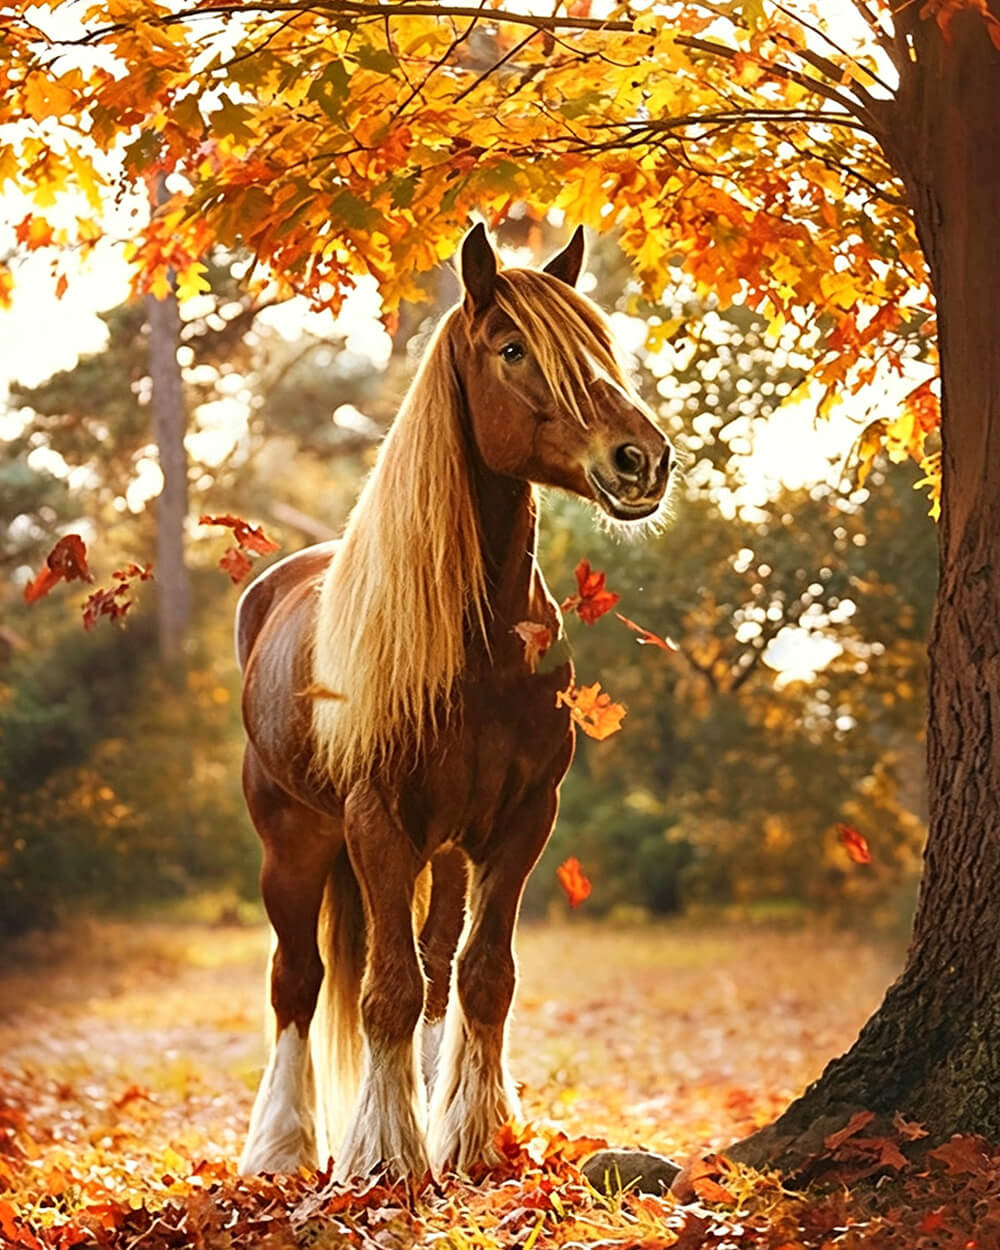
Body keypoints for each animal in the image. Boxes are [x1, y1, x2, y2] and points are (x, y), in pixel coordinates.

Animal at [236, 223, 673, 1182]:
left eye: (601, 344)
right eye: (512, 349)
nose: (643, 460)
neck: (479, 651)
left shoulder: (520, 820)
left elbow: (482, 976)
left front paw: (472, 1140)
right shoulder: (375, 820)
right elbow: (385, 990)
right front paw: (385, 1159)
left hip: (440, 851)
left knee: (436, 967)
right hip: (295, 841)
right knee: (297, 980)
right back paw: (279, 1149)